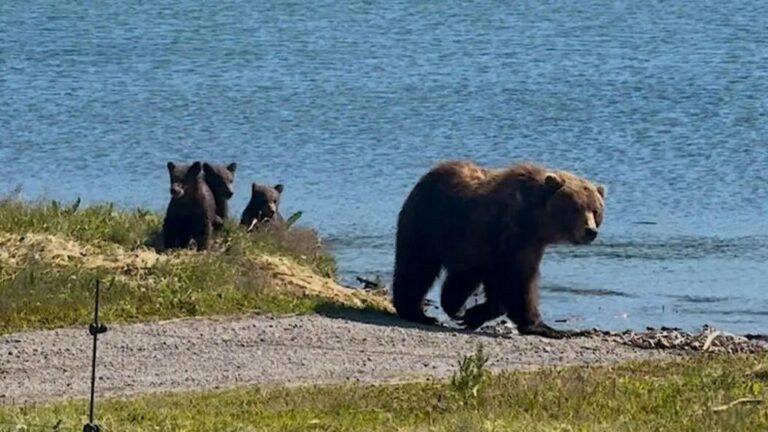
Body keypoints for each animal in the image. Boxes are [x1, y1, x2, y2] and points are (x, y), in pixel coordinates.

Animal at [391, 160, 605, 339]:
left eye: (596, 210)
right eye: (576, 208)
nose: (590, 231)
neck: (536, 222)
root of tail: (427, 175)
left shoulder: (525, 244)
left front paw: (473, 314)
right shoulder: (511, 235)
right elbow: (516, 281)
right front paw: (543, 327)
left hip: (465, 244)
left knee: (461, 276)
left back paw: (453, 306)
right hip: (428, 224)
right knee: (416, 267)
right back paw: (417, 312)